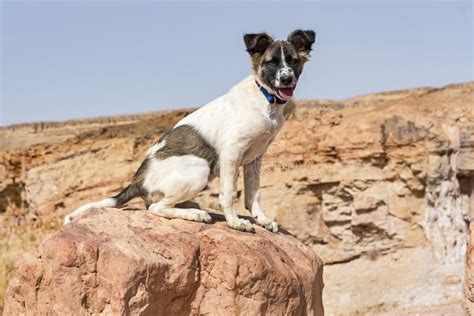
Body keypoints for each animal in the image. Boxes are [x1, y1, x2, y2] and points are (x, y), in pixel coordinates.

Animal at [63, 29, 314, 232]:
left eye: (293, 61)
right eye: (272, 62)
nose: (286, 79)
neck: (265, 99)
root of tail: (137, 181)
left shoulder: (255, 157)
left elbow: (253, 194)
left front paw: (262, 220)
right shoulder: (231, 153)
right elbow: (229, 194)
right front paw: (235, 222)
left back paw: (191, 206)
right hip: (199, 167)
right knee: (155, 207)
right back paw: (195, 214)